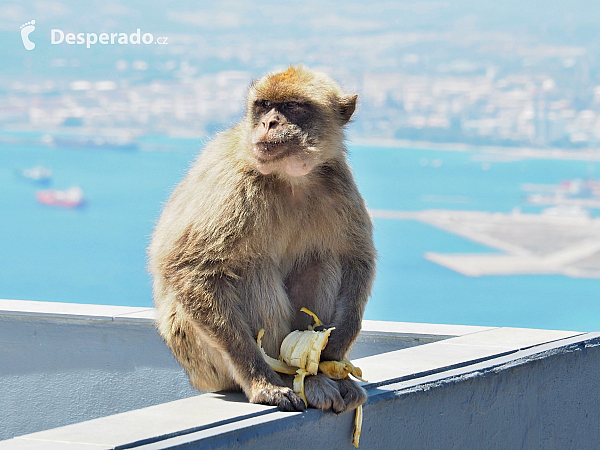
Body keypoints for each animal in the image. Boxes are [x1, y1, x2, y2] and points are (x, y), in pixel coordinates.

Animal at [149, 65, 376, 414]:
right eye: (265, 105)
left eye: (292, 106)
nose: (269, 123)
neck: (291, 178)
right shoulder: (232, 181)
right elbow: (189, 267)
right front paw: (262, 381)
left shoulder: (338, 180)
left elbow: (355, 257)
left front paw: (335, 348)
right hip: (203, 358)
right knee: (248, 269)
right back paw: (289, 377)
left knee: (321, 260)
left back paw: (316, 375)